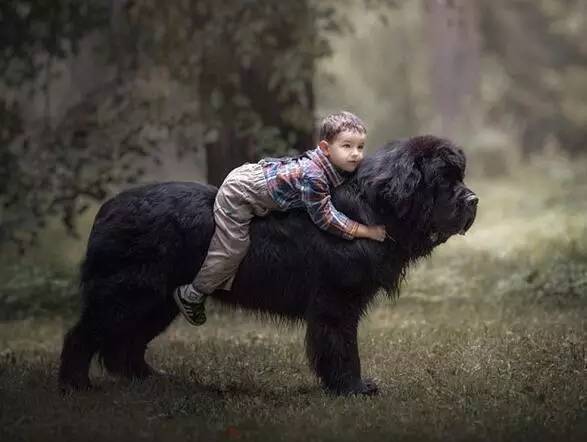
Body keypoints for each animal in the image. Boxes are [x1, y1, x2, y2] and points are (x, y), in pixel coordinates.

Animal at [57, 134, 478, 394]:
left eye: (459, 177)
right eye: (443, 180)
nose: (473, 200)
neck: (376, 206)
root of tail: (109, 208)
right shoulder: (336, 301)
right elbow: (341, 345)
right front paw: (353, 388)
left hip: (157, 300)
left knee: (124, 344)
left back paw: (149, 379)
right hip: (129, 294)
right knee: (84, 335)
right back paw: (76, 384)